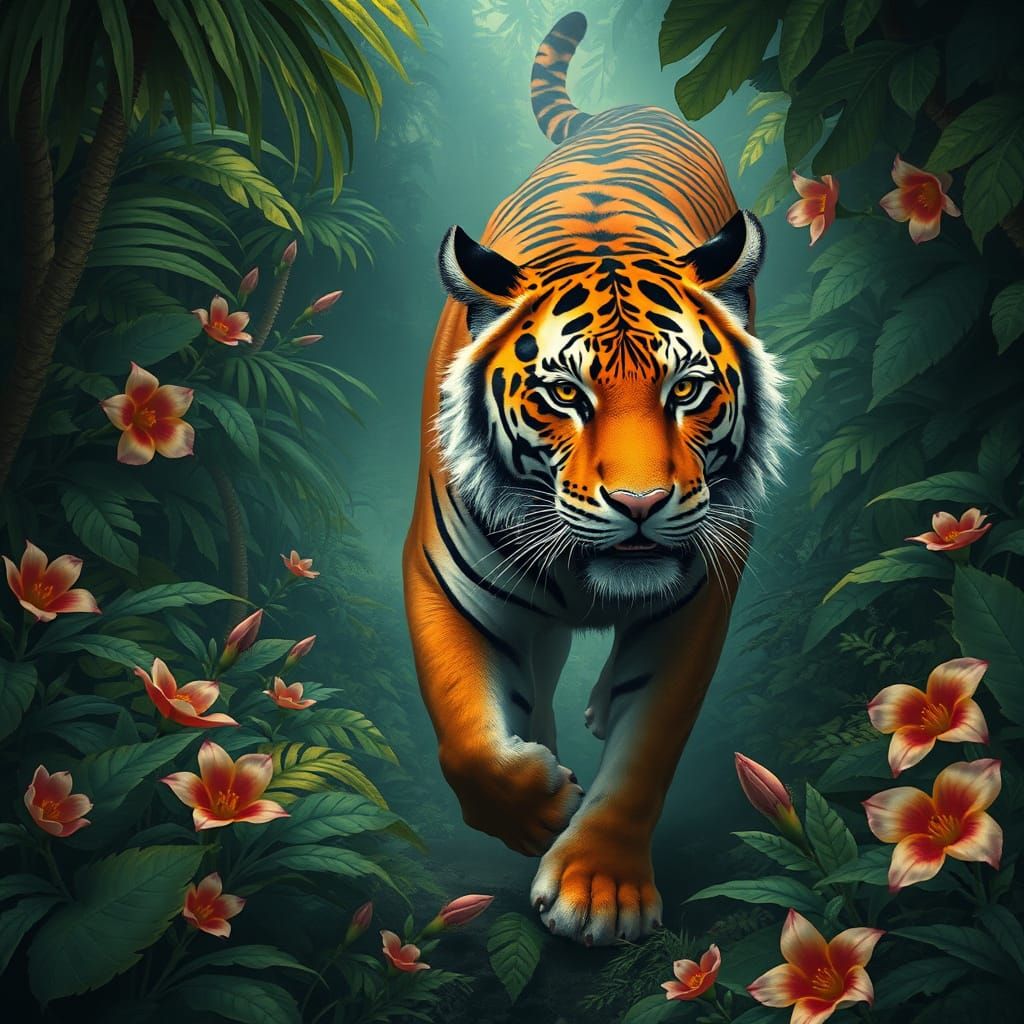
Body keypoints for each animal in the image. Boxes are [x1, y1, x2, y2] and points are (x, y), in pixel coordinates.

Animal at [402, 11, 786, 945]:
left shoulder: (700, 595)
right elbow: (465, 733)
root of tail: (634, 106)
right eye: (564, 395)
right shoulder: (442, 578)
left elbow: (650, 745)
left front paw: (600, 890)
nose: (641, 504)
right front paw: (539, 801)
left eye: (685, 389)